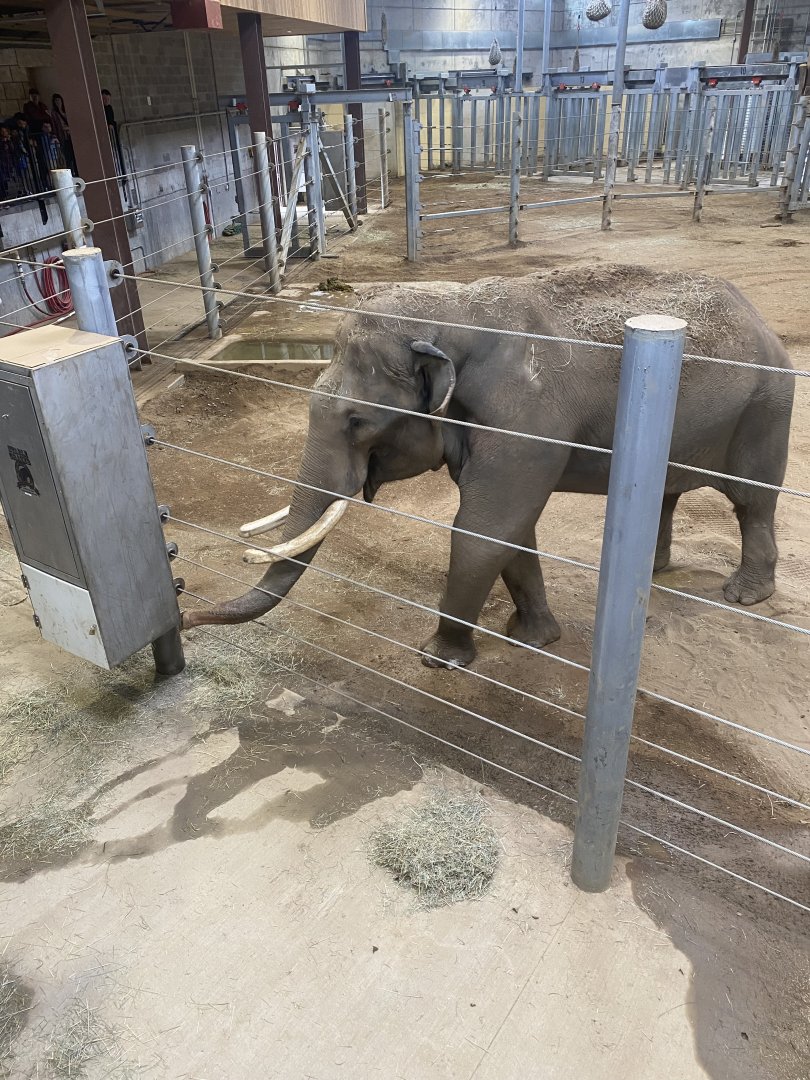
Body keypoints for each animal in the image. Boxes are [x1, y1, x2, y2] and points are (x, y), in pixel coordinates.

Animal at [183, 265, 794, 670]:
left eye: (358, 421)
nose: (187, 618)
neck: (455, 313)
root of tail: (759, 319)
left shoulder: (525, 421)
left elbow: (483, 529)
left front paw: (438, 659)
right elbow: (513, 531)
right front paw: (532, 639)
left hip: (766, 409)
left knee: (752, 501)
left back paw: (745, 596)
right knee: (671, 492)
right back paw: (656, 573)